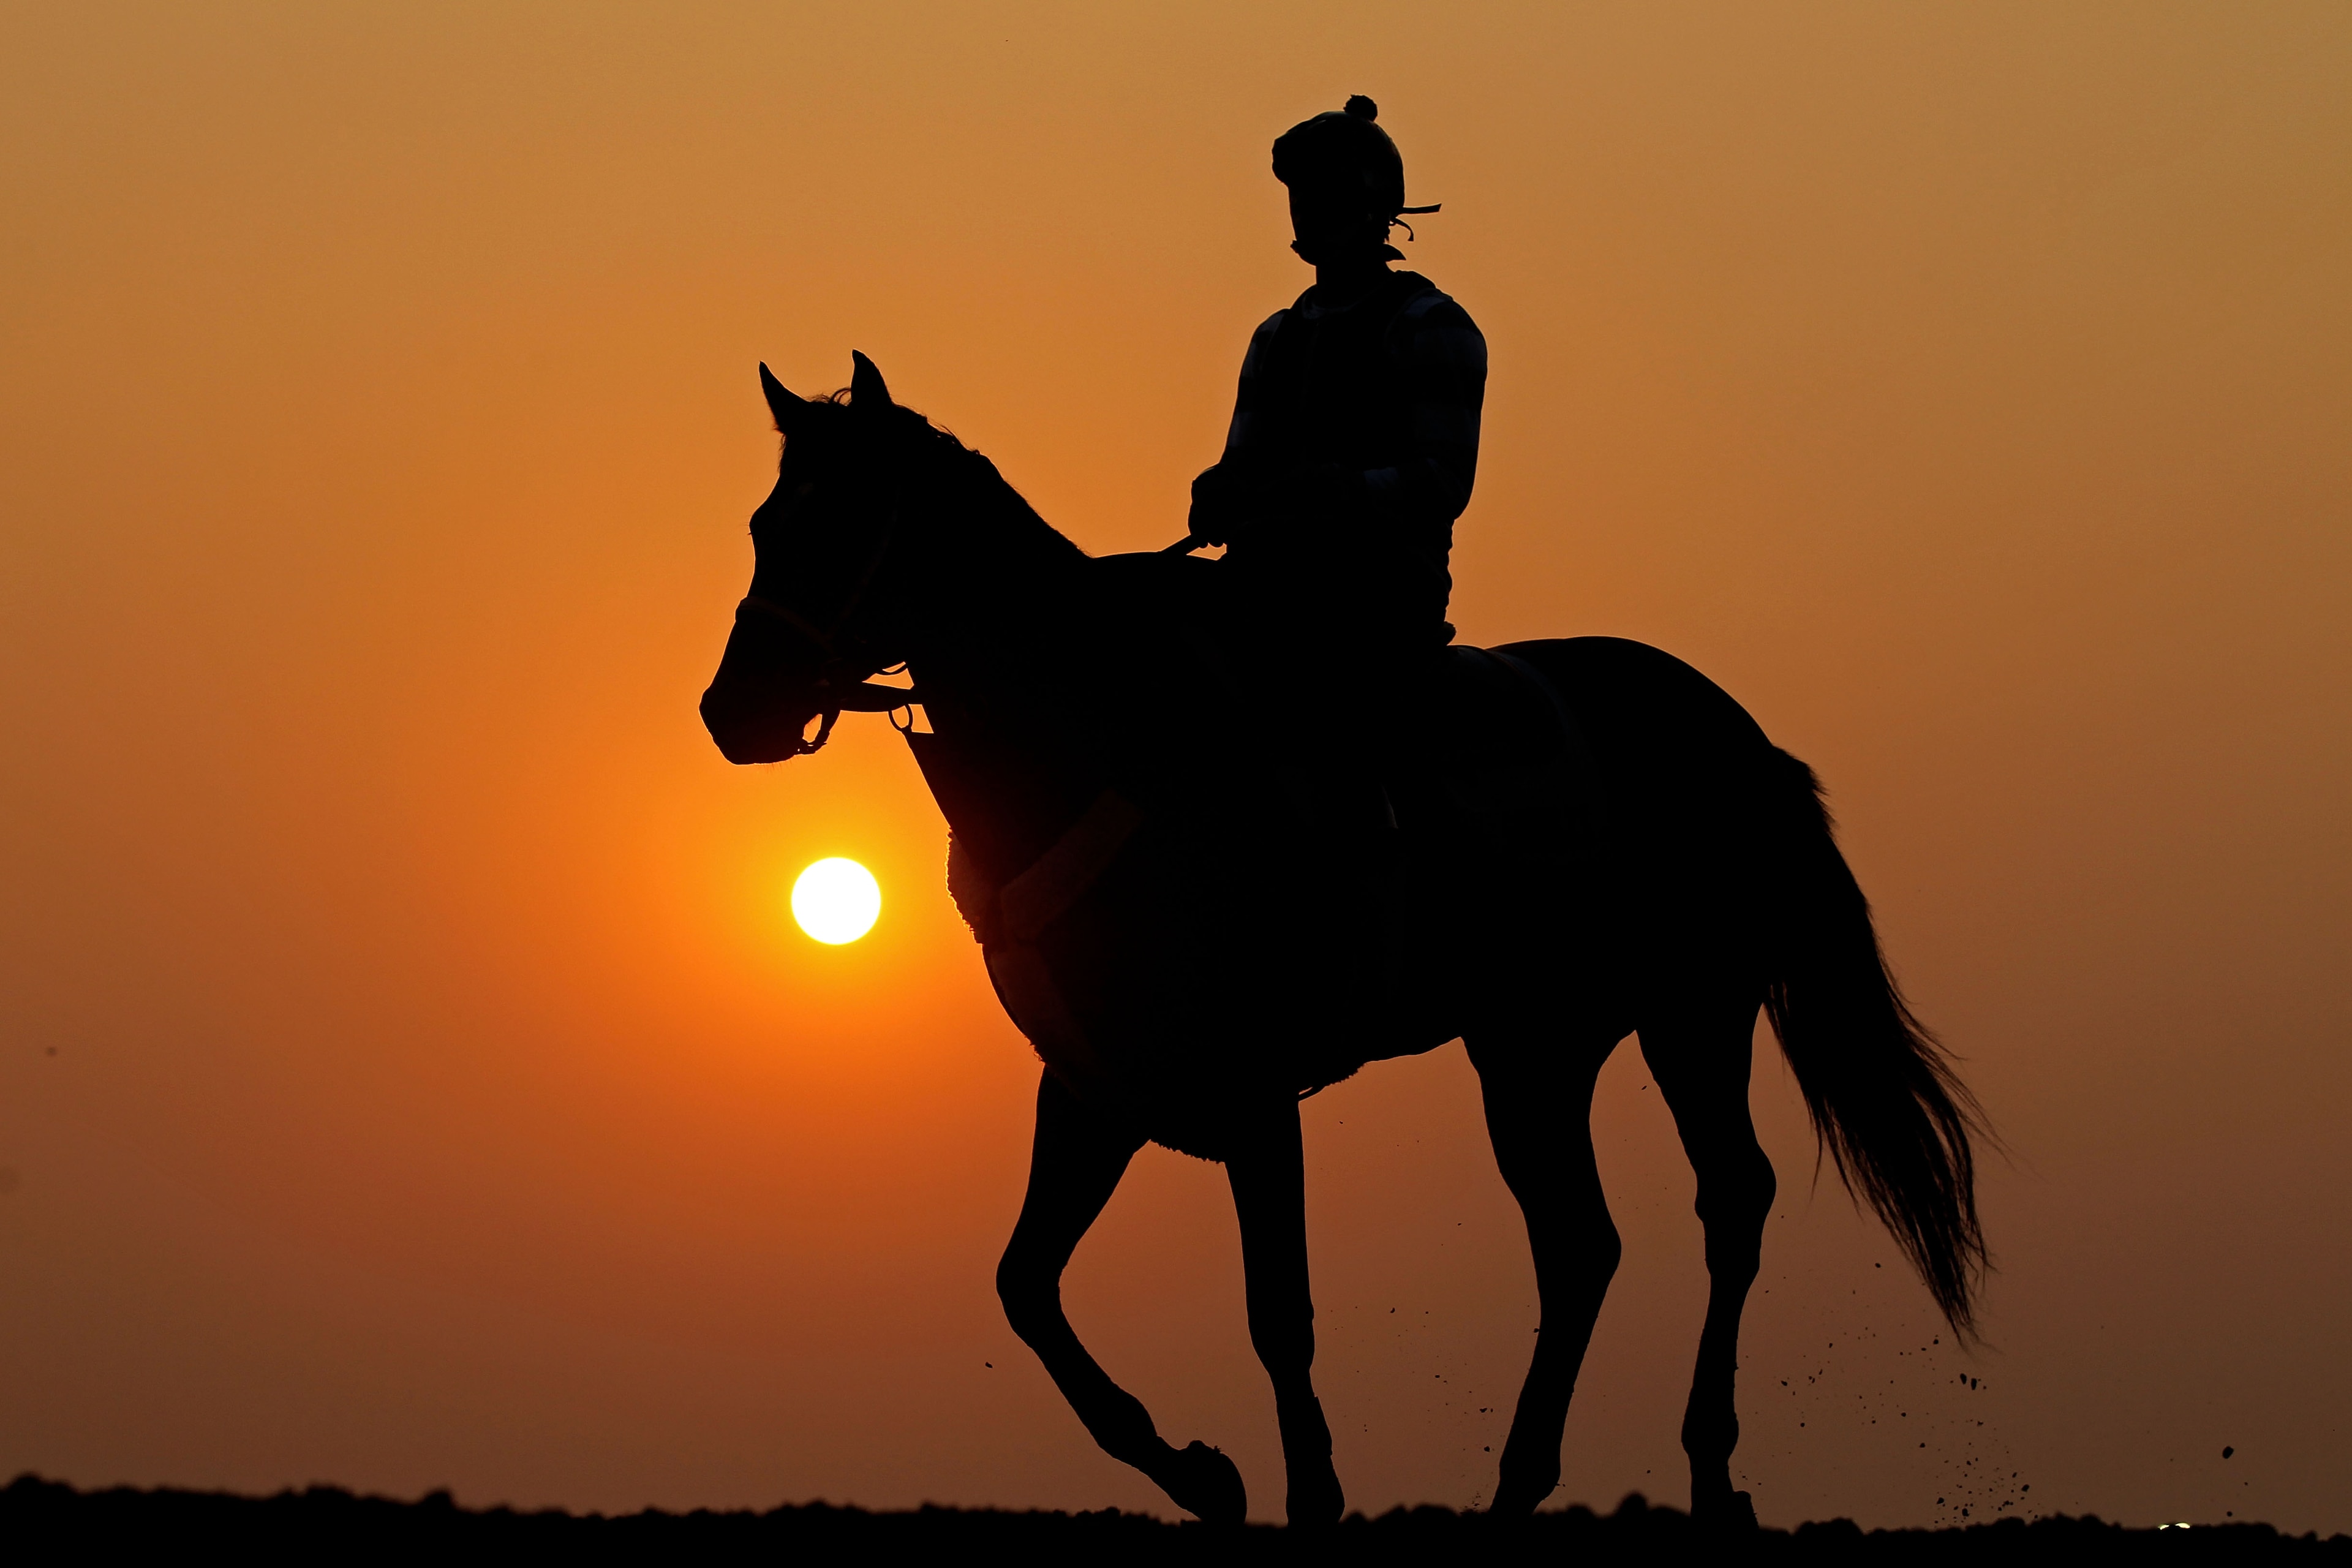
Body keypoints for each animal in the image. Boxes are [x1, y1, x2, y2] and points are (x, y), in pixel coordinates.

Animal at [698, 352, 1986, 1528]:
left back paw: (1711, 1475)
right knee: (1581, 1242)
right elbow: (1027, 1287)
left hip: (1694, 1013)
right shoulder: (1093, 1088)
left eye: (845, 521)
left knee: (1730, 1200)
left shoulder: (1256, 1091)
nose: (733, 710)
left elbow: (1279, 1311)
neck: (1109, 744)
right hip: (1535, 1048)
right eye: (765, 523)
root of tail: (1739, 736)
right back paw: (1517, 1489)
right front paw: (1202, 1475)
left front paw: (1308, 1496)